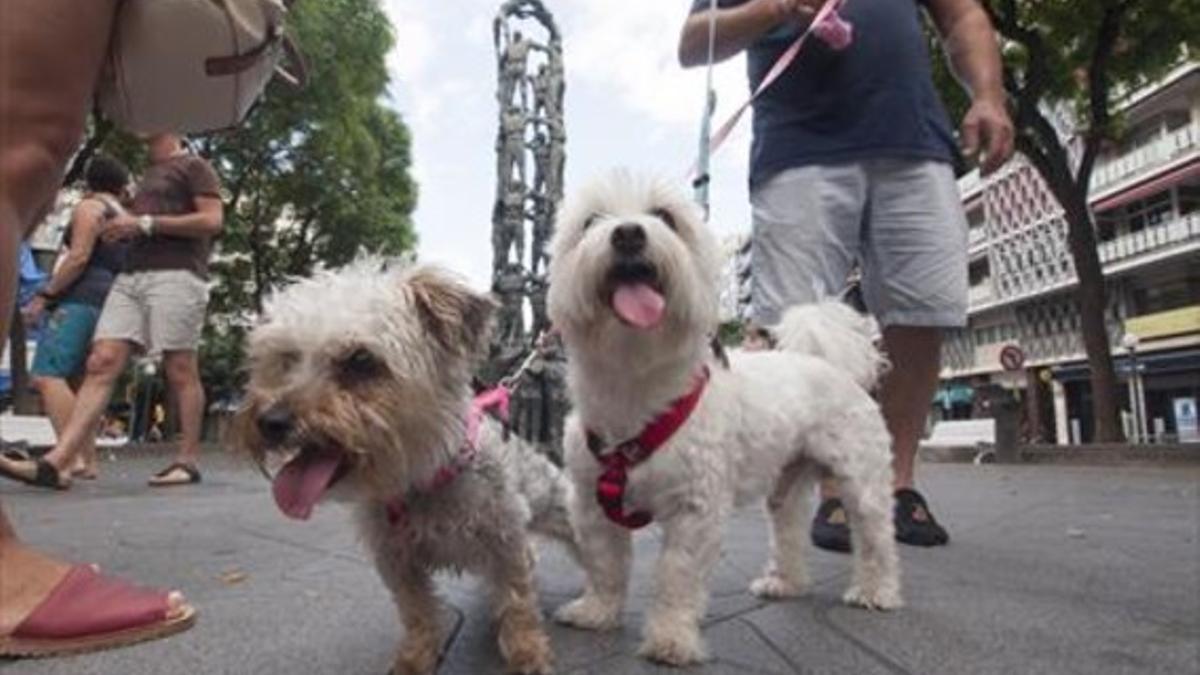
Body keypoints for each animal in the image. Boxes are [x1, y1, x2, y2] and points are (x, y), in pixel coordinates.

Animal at [231, 261, 578, 672]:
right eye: (286, 358)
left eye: (361, 360)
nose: (271, 421)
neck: (423, 478)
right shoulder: (396, 560)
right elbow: (418, 612)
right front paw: (416, 657)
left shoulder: (505, 541)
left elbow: (517, 603)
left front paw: (527, 653)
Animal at [544, 170, 902, 662]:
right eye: (590, 221)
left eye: (665, 218)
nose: (629, 233)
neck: (635, 381)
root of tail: (830, 364)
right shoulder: (592, 503)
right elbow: (604, 563)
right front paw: (597, 611)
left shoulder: (696, 508)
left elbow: (677, 573)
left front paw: (671, 638)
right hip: (787, 482)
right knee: (788, 529)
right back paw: (786, 582)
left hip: (860, 478)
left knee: (875, 534)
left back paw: (877, 590)